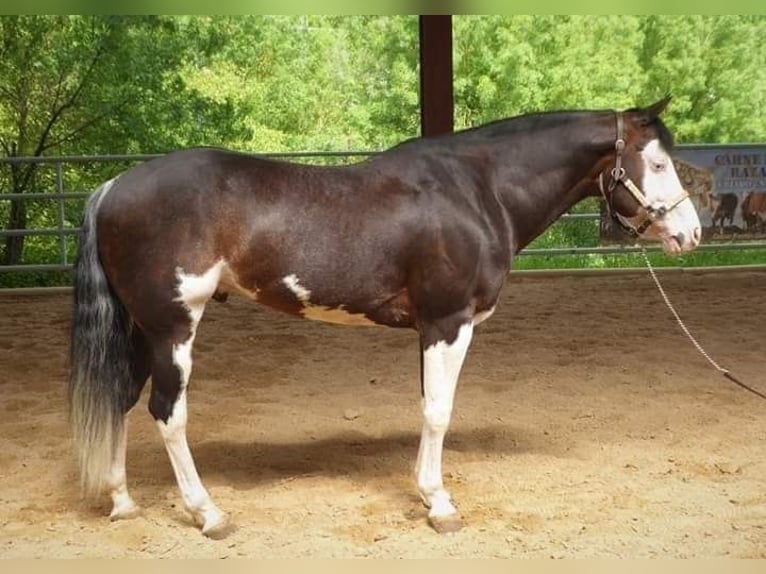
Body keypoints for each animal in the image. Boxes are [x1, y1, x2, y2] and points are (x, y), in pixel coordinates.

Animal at [69, 97, 704, 536]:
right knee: (166, 413)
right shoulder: (448, 323)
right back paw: (208, 514)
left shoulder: (429, 330)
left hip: (140, 328)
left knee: (120, 398)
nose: (692, 234)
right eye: (655, 163)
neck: (477, 191)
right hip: (174, 328)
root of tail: (113, 185)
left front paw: (427, 494)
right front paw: (440, 505)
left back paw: (122, 502)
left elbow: (427, 408)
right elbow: (440, 412)